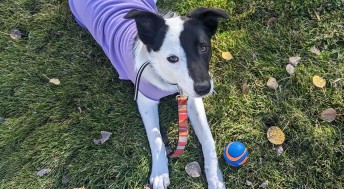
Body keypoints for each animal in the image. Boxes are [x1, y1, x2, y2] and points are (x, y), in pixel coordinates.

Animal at [69, 0, 228, 188]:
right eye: (172, 58)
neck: (167, 80)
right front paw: (160, 173)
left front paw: (215, 176)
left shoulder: (190, 95)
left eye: (203, 48)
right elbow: (156, 137)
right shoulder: (146, 102)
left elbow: (208, 138)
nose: (204, 88)